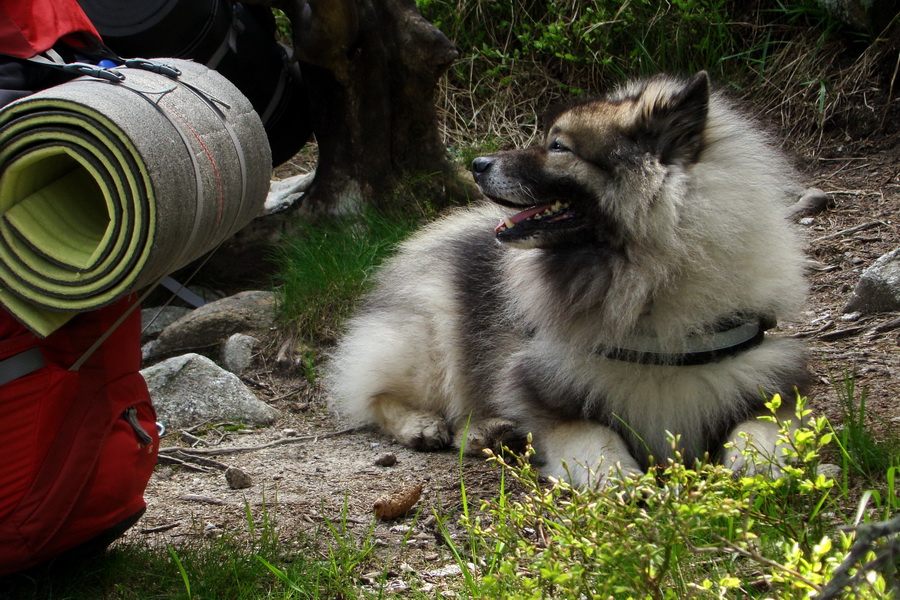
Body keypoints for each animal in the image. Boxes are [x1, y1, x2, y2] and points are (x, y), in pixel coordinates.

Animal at [326, 70, 812, 486]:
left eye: (559, 147)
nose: (477, 163)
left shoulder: (770, 377)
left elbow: (765, 425)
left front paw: (757, 461)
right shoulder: (546, 388)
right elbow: (596, 435)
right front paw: (618, 477)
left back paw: (489, 430)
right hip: (432, 336)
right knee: (376, 393)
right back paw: (424, 424)